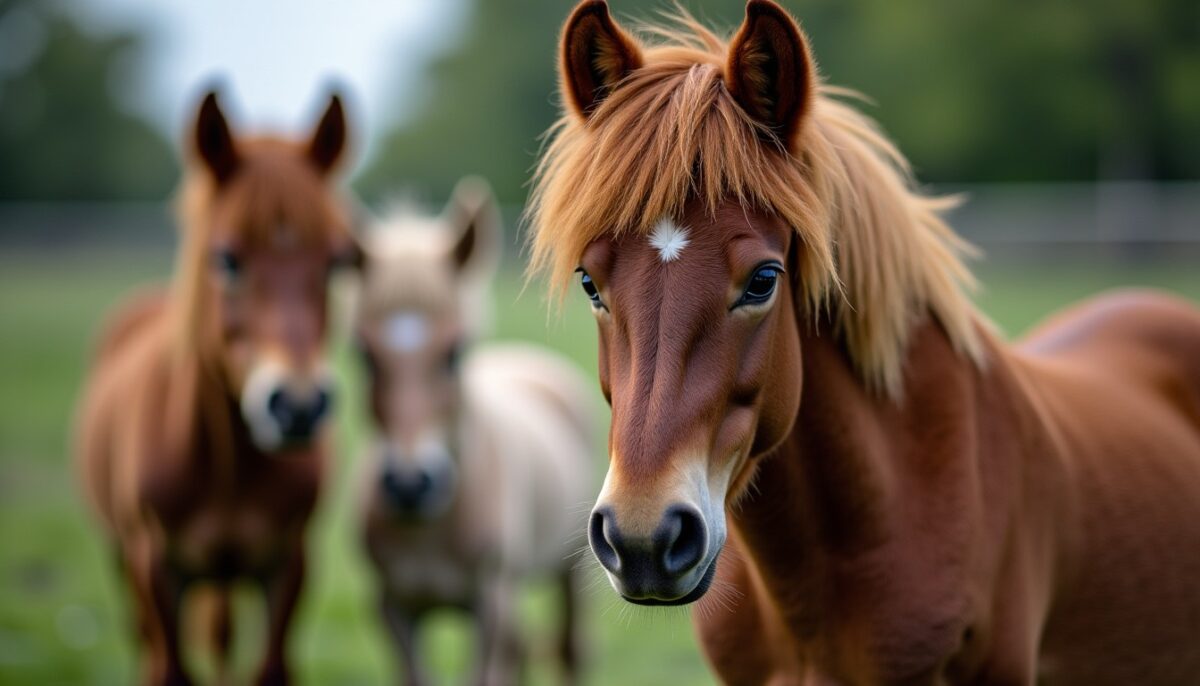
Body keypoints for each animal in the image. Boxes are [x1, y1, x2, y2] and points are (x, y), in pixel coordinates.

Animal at [75, 90, 359, 686]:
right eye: (226, 259)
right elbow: (170, 667)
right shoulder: (155, 567)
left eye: (337, 262)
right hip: (121, 557)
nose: (297, 407)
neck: (227, 464)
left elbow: (270, 667)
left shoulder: (288, 565)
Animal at [355, 178, 598, 686]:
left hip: (568, 567)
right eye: (363, 355)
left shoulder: (490, 604)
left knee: (567, 650)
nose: (409, 485)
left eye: (455, 351)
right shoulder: (393, 610)